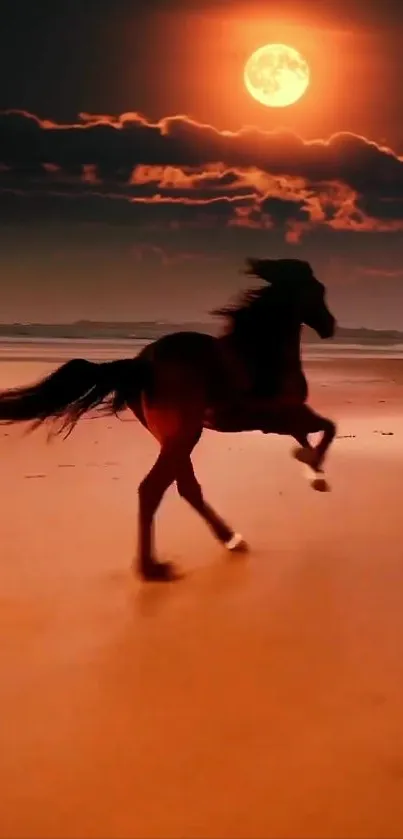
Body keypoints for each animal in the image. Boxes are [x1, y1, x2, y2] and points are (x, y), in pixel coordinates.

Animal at [0, 260, 338, 580]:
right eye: (318, 291)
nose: (331, 326)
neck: (260, 351)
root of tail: (141, 364)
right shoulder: (284, 414)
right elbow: (327, 429)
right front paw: (315, 474)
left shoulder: (282, 419)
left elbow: (312, 434)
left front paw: (313, 470)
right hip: (184, 435)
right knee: (153, 489)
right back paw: (153, 568)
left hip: (177, 439)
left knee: (186, 488)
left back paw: (229, 540)